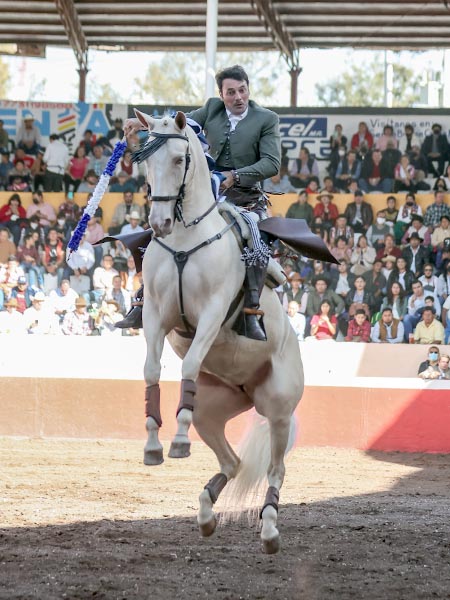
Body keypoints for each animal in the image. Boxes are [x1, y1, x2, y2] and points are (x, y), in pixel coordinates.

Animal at [134, 109, 302, 552]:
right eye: (144, 162)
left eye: (179, 159)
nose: (159, 222)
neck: (185, 237)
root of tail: (250, 392)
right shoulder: (154, 315)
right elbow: (152, 371)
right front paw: (154, 446)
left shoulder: (210, 314)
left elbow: (190, 363)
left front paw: (177, 443)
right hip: (213, 410)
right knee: (233, 460)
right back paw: (207, 514)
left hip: (279, 409)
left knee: (275, 470)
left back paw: (269, 529)